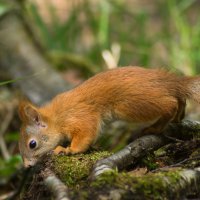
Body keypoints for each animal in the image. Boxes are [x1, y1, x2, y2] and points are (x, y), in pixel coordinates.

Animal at [18, 66, 199, 166]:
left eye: (32, 144)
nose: (27, 166)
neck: (57, 118)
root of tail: (170, 82)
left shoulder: (79, 117)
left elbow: (85, 135)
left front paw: (68, 149)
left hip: (131, 105)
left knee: (170, 103)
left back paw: (156, 126)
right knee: (179, 98)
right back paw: (178, 115)